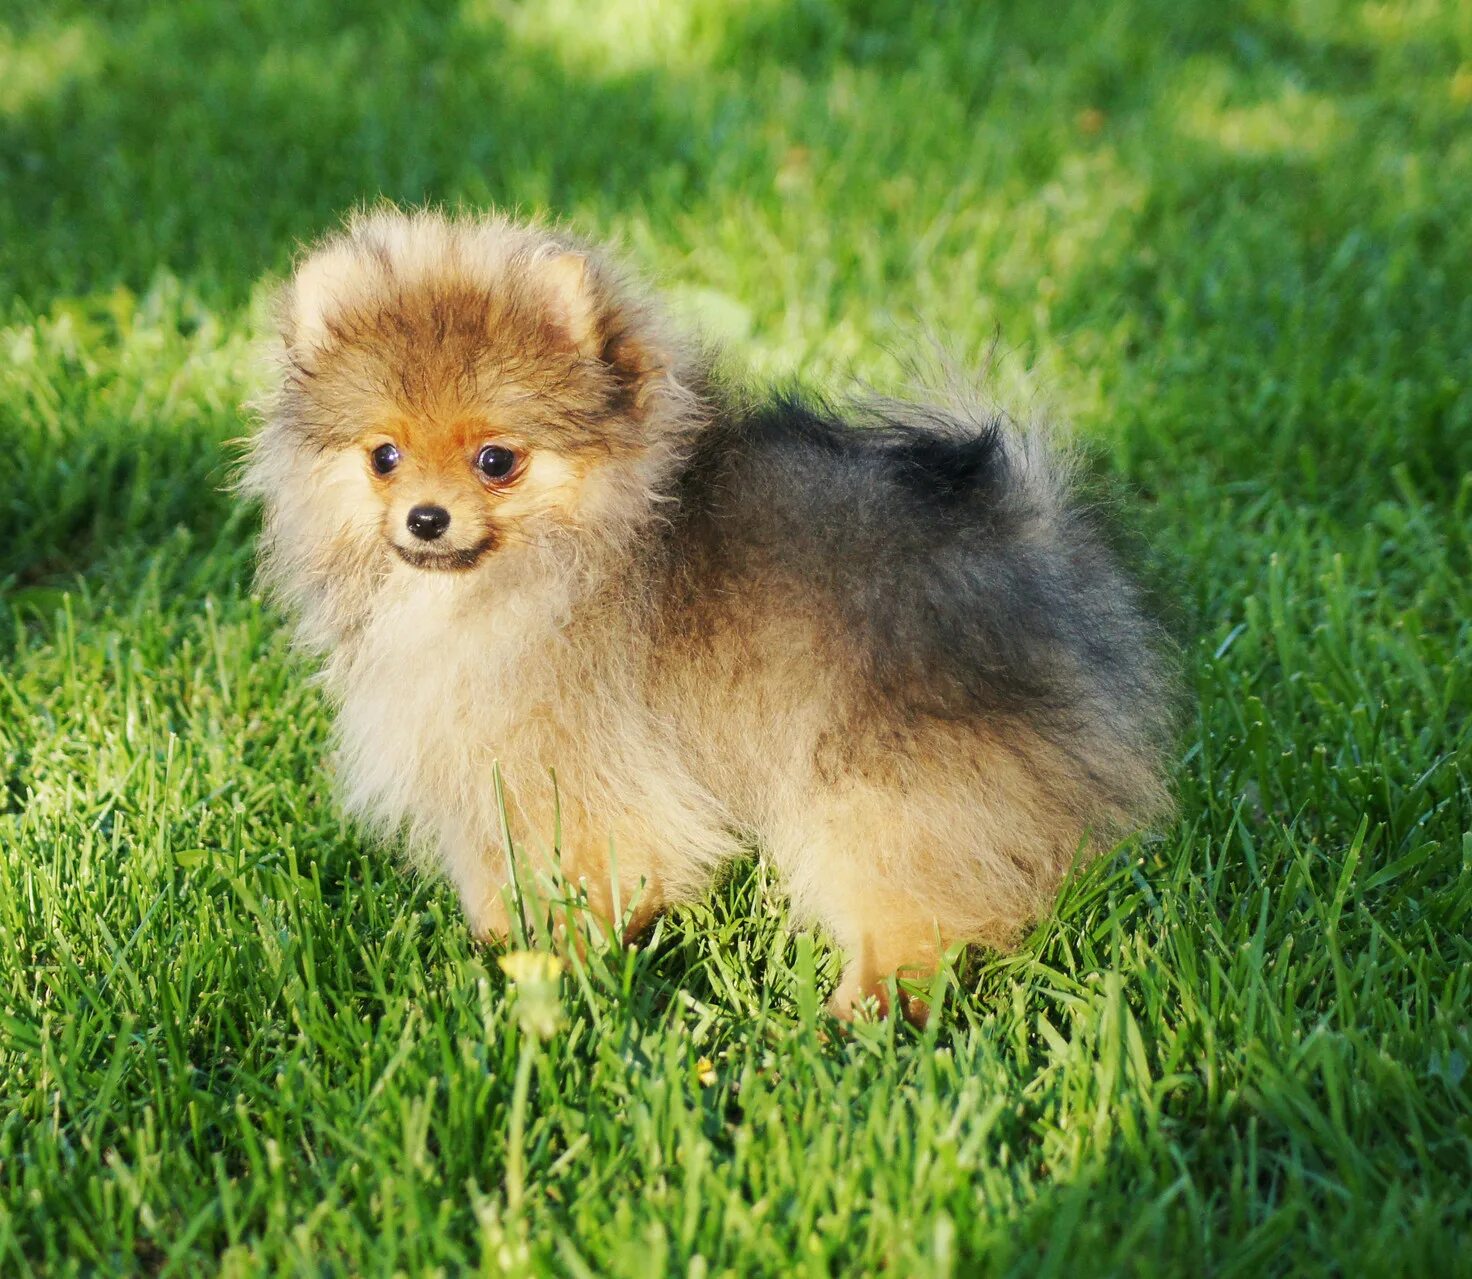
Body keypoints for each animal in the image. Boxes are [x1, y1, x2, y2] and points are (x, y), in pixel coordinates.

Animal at [244, 207, 1171, 1018]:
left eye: (496, 460)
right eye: (384, 457)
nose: (426, 518)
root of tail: (1027, 534)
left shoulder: (583, 761)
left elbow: (599, 864)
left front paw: (569, 960)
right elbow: (501, 862)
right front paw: (503, 938)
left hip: (887, 780)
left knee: (921, 905)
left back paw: (866, 1008)